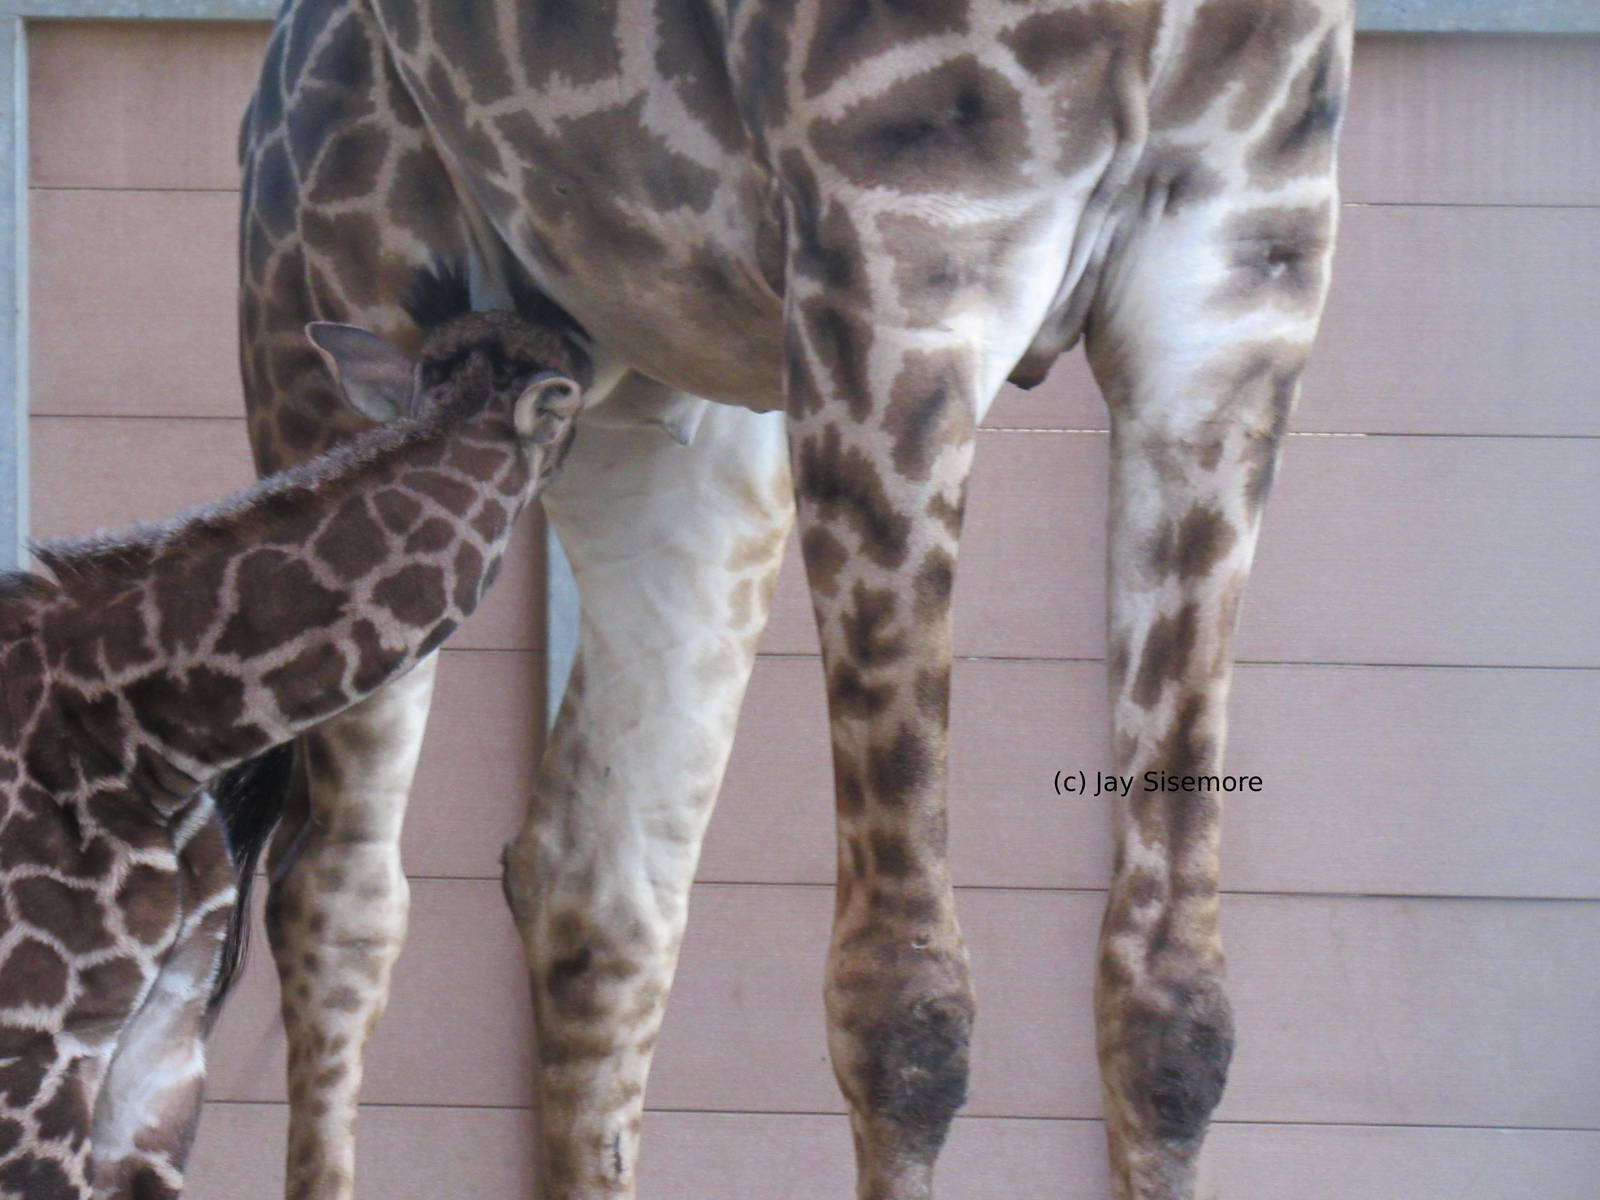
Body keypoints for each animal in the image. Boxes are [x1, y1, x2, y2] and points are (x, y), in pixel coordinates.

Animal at [236, 2, 1354, 1197]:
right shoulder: (898, 259)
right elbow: (904, 1011)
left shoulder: (1242, 277)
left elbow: (1176, 1021)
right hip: (325, 343)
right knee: (335, 890)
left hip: (674, 429)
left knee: (600, 890)